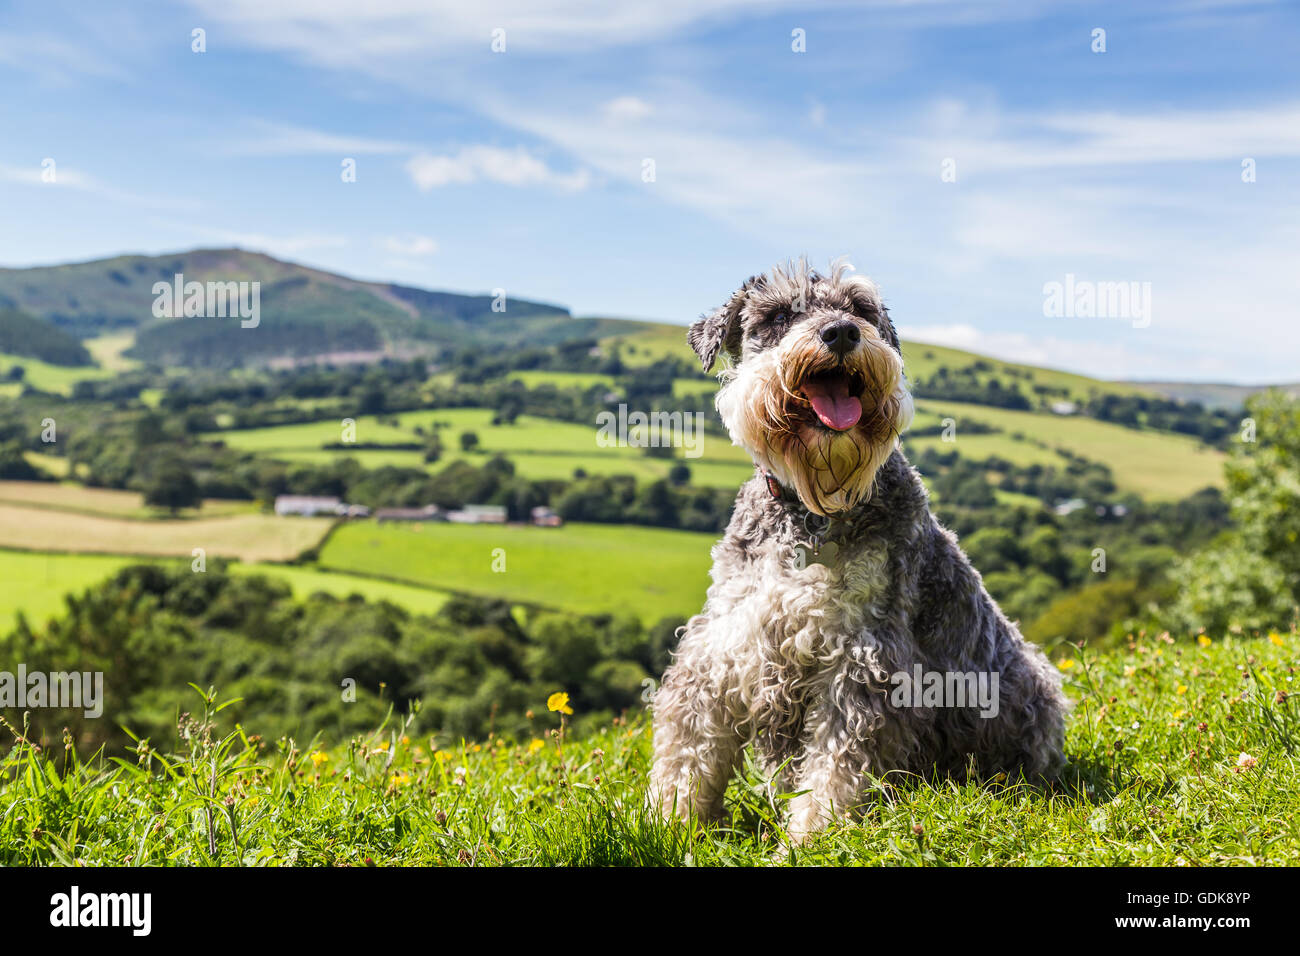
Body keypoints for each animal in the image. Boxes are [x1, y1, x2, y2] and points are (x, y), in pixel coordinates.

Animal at [650, 257, 1066, 842]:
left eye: (861, 309)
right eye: (778, 315)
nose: (842, 333)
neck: (811, 512)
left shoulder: (863, 657)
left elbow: (837, 762)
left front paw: (811, 836)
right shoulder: (722, 644)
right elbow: (689, 746)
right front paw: (670, 822)